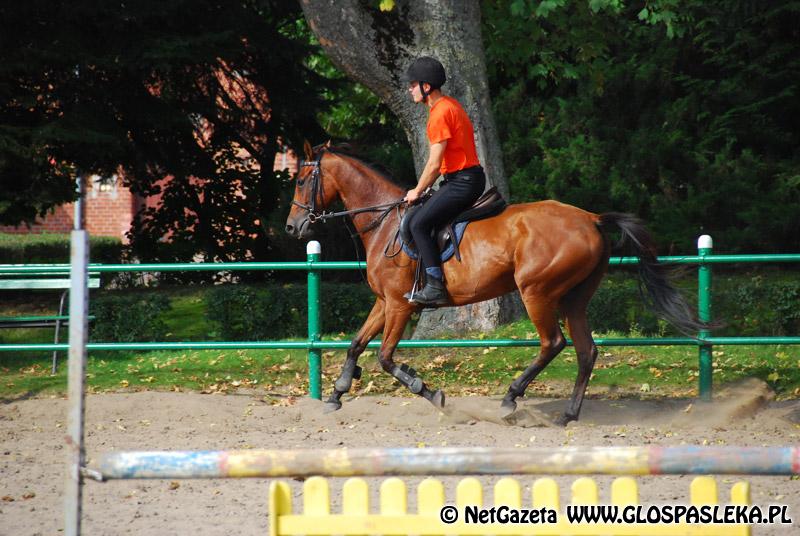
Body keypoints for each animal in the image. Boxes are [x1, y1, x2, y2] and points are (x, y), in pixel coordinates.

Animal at [286, 140, 700, 426]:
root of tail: (592, 219)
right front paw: (337, 394)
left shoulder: (402, 305)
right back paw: (567, 414)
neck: (385, 222)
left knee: (553, 343)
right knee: (586, 351)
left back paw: (510, 399)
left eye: (303, 180)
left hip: (537, 292)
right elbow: (356, 344)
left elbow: (386, 358)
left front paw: (430, 392)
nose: (293, 227)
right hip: (573, 299)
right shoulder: (385, 302)